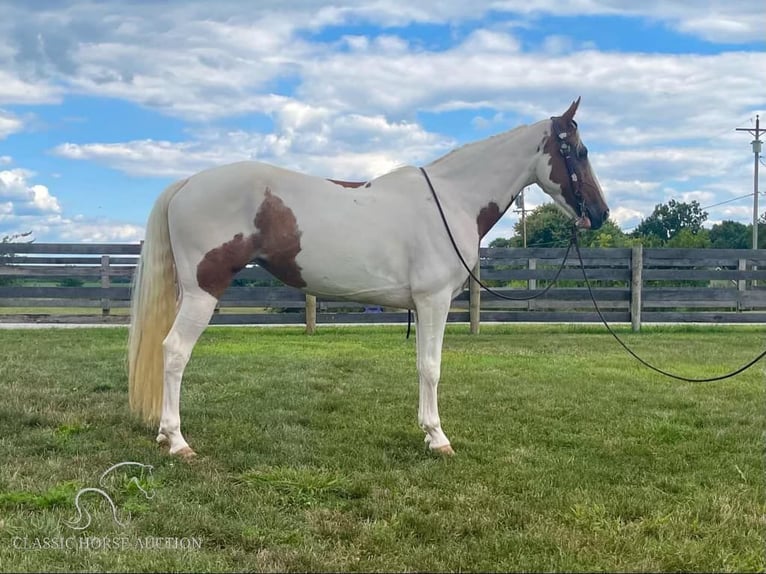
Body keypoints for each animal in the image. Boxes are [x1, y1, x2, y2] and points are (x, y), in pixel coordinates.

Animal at [130, 98, 612, 460]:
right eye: (580, 152)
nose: (601, 213)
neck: (452, 199)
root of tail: (188, 182)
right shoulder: (434, 301)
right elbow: (431, 367)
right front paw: (438, 438)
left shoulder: (423, 306)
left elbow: (422, 366)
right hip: (203, 292)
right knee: (175, 352)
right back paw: (177, 441)